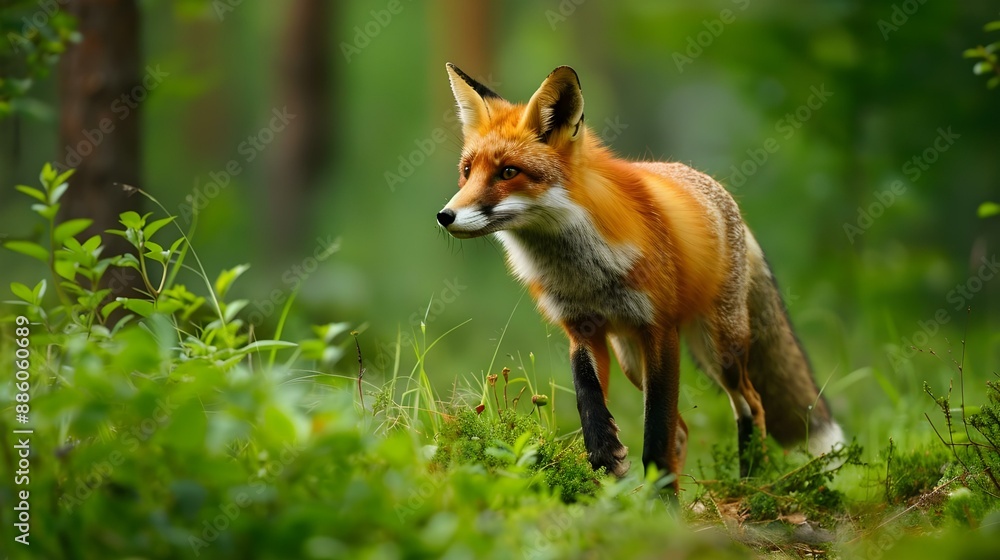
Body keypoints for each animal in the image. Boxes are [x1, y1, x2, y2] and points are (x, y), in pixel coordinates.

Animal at [435, 63, 844, 495]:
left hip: (720, 350)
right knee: (684, 429)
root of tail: (722, 194)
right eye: (467, 172)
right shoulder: (582, 328)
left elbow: (656, 433)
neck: (584, 274)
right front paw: (604, 454)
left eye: (508, 172)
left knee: (751, 403)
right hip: (633, 358)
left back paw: (749, 483)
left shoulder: (659, 330)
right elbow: (587, 395)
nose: (445, 216)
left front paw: (661, 503)